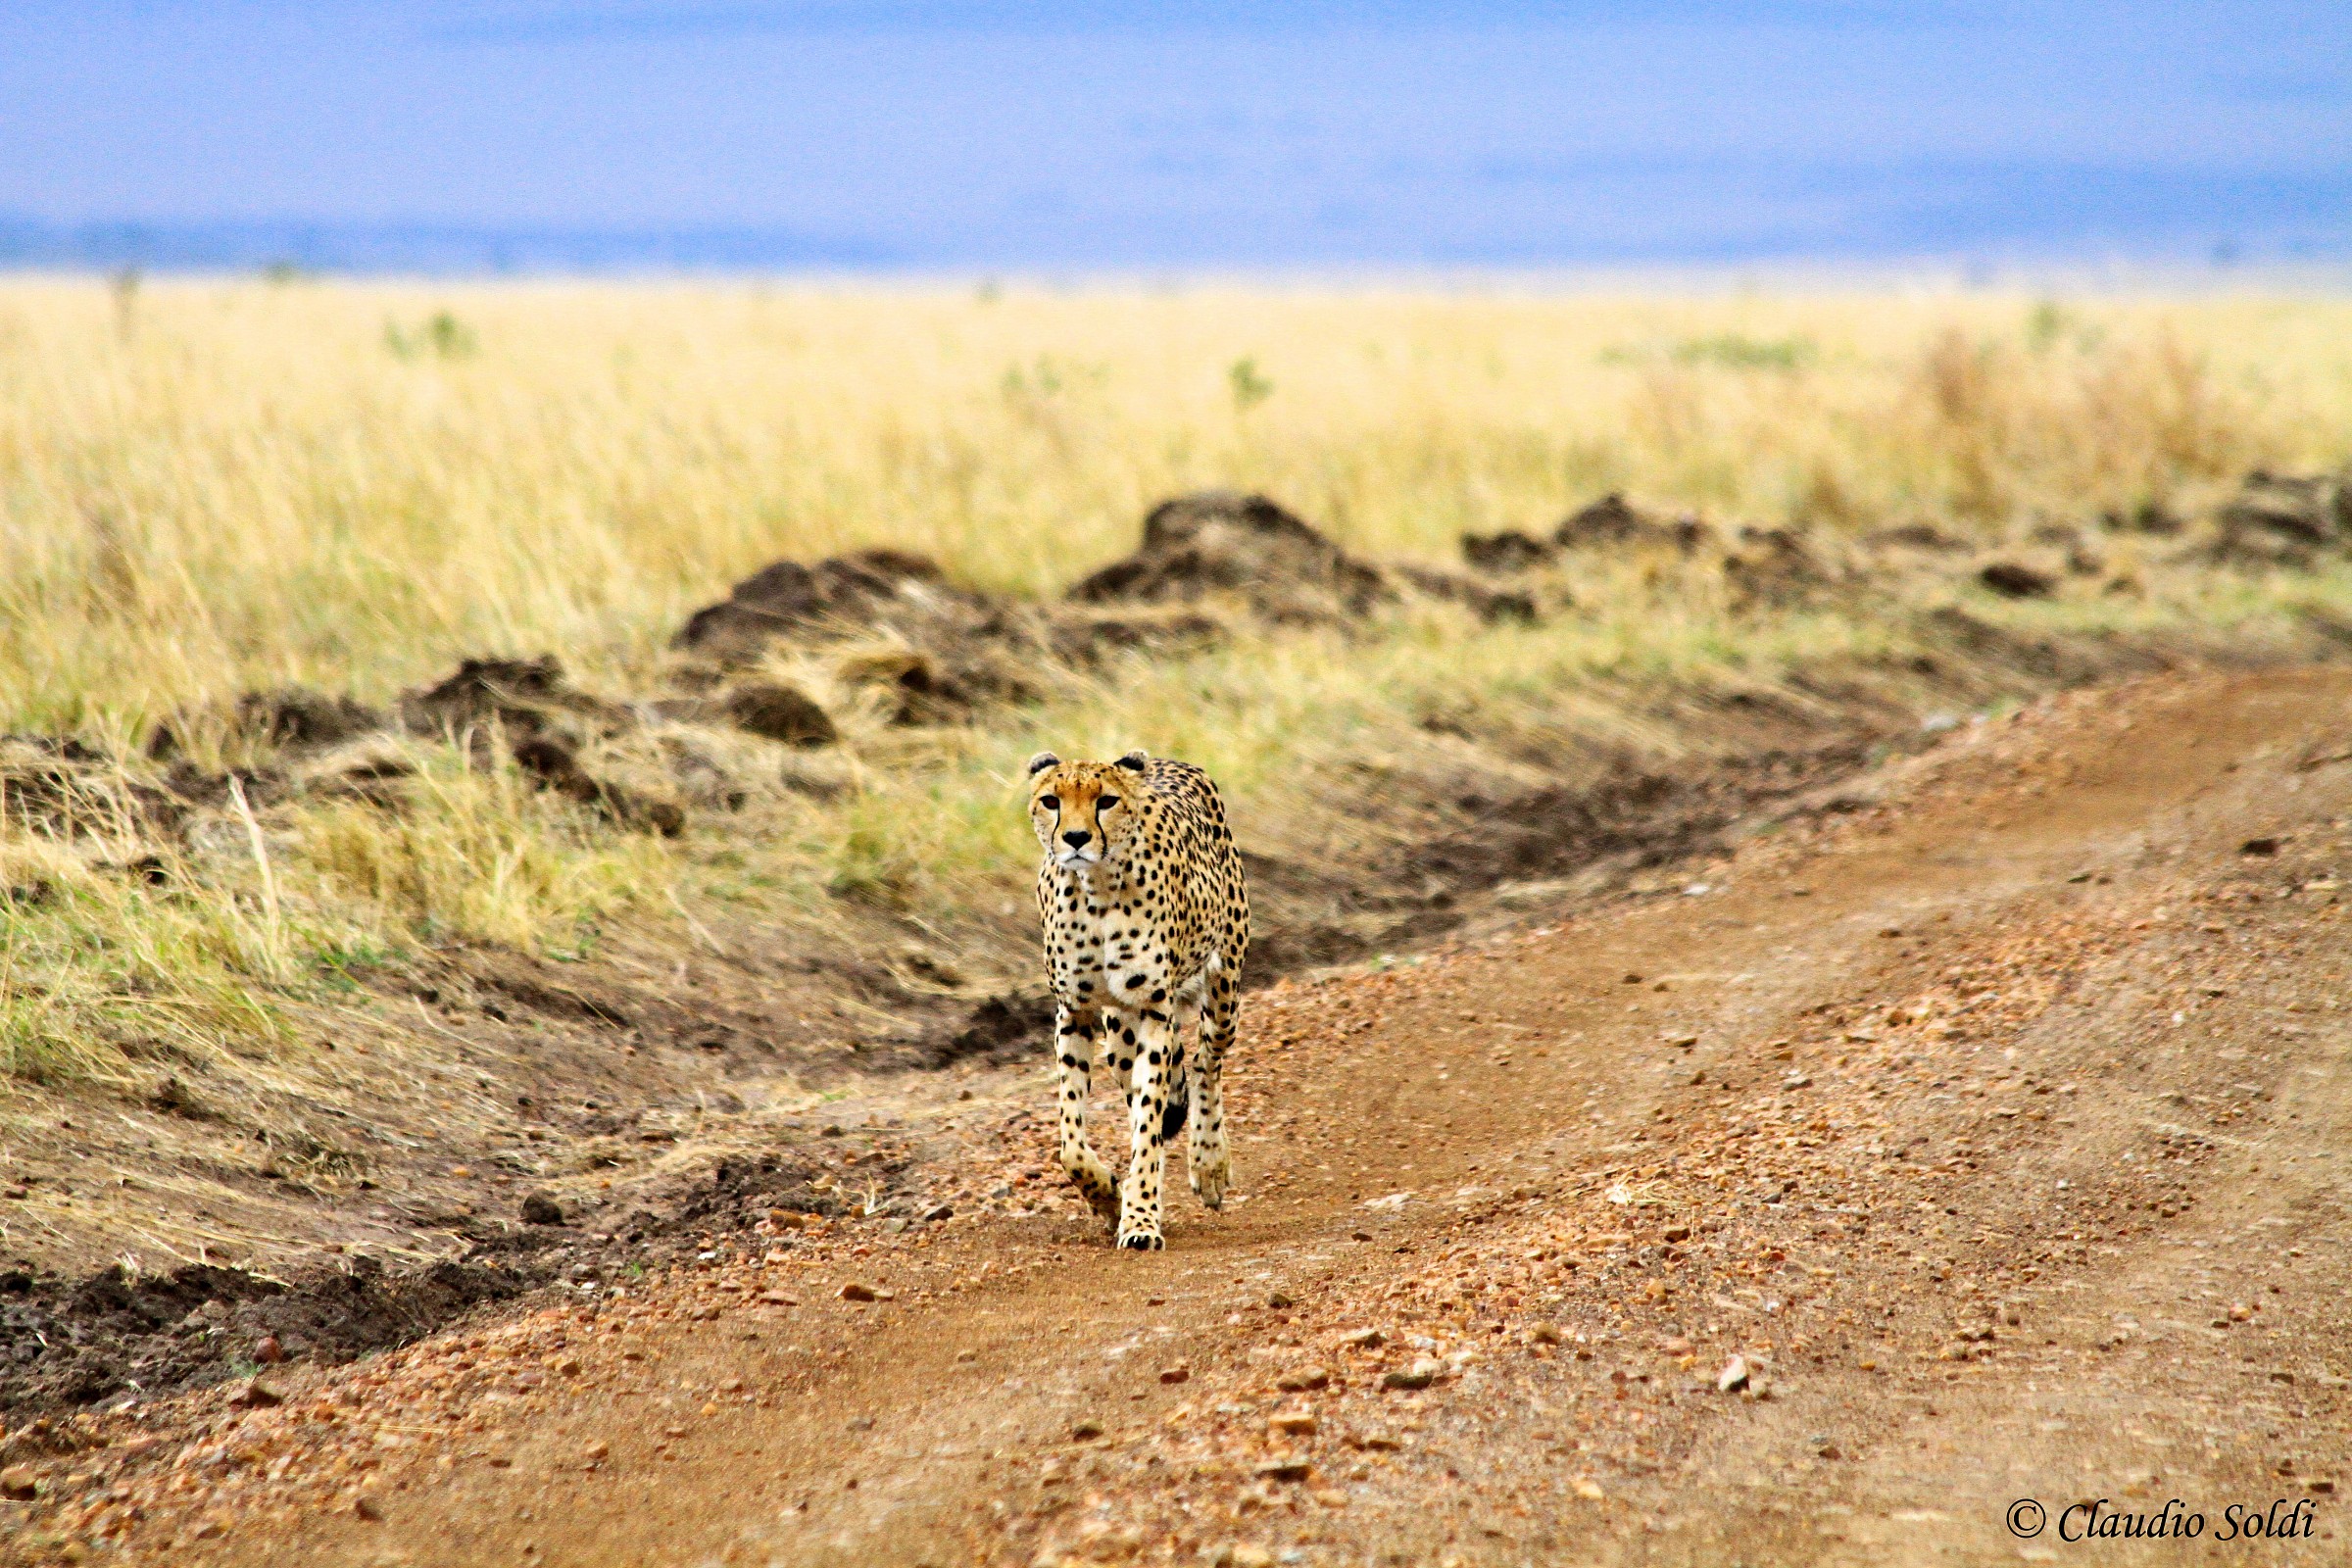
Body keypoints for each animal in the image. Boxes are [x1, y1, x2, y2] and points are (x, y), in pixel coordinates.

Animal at [1025, 748, 1249, 1250]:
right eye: (1051, 800)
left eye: (1106, 800)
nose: (1075, 838)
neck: (1095, 889)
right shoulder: (1075, 1011)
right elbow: (1070, 1143)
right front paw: (1110, 1196)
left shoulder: (1153, 1007)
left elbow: (1149, 1125)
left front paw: (1141, 1219)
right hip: (1119, 1032)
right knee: (1145, 1087)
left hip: (1223, 985)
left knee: (1205, 1063)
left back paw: (1208, 1161)